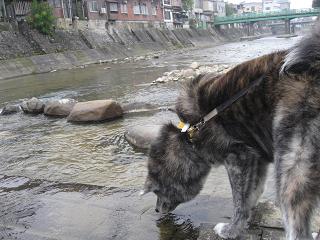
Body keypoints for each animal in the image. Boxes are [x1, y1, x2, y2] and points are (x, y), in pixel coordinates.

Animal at [142, 26, 320, 240]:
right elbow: (253, 193)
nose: (156, 210)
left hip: (292, 169)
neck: (191, 133)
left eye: (158, 191)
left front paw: (231, 230)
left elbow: (240, 201)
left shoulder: (239, 158)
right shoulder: (255, 160)